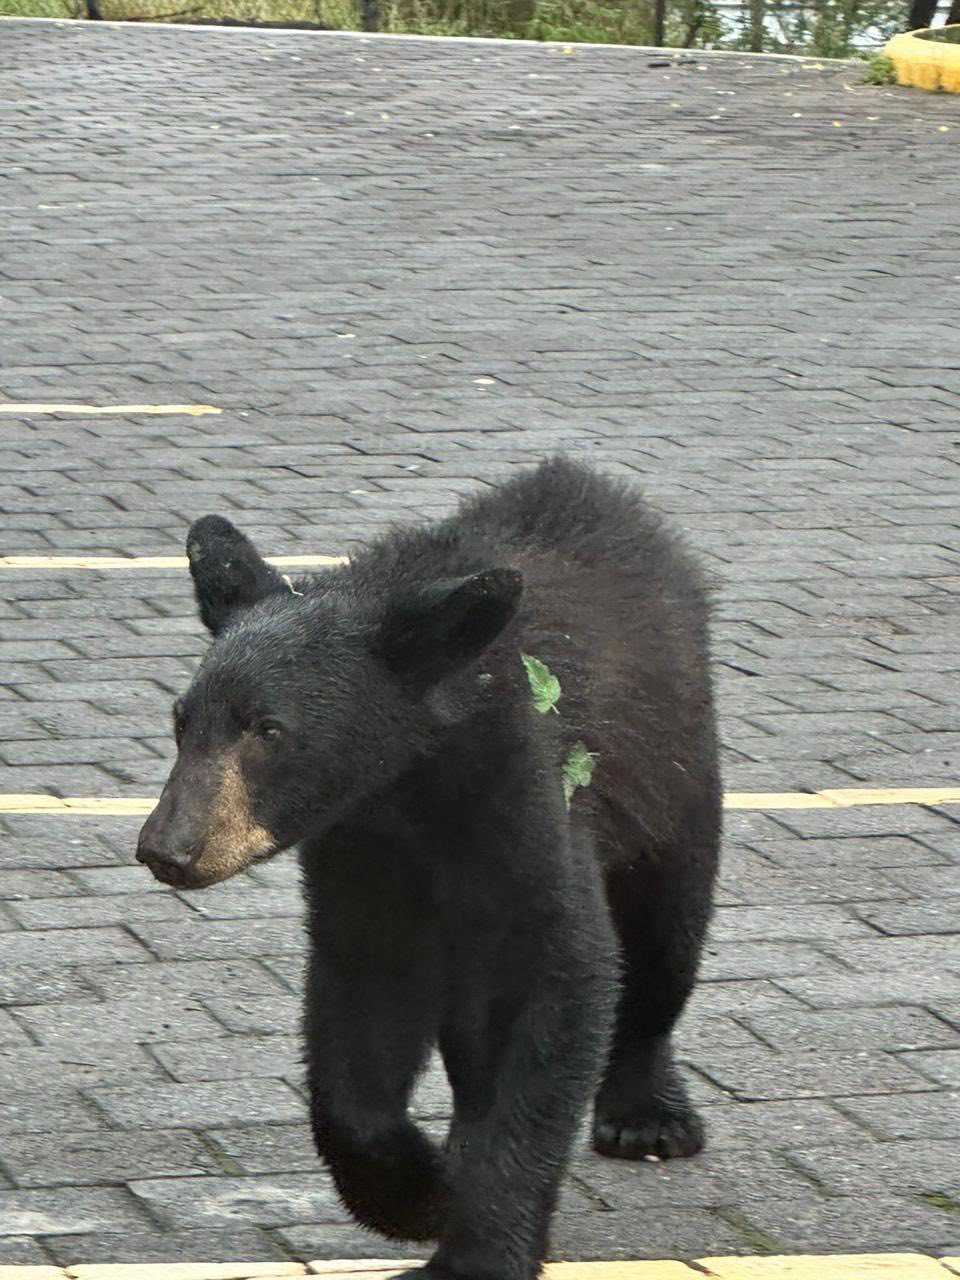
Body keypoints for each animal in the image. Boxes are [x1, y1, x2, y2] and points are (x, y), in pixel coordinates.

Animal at [137, 456, 721, 1280]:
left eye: (269, 730)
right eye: (182, 721)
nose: (168, 848)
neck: (410, 781)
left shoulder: (524, 793)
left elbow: (557, 973)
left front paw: (479, 1248)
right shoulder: (360, 851)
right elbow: (360, 1004)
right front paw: (417, 1191)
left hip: (676, 777)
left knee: (665, 935)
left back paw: (648, 1115)